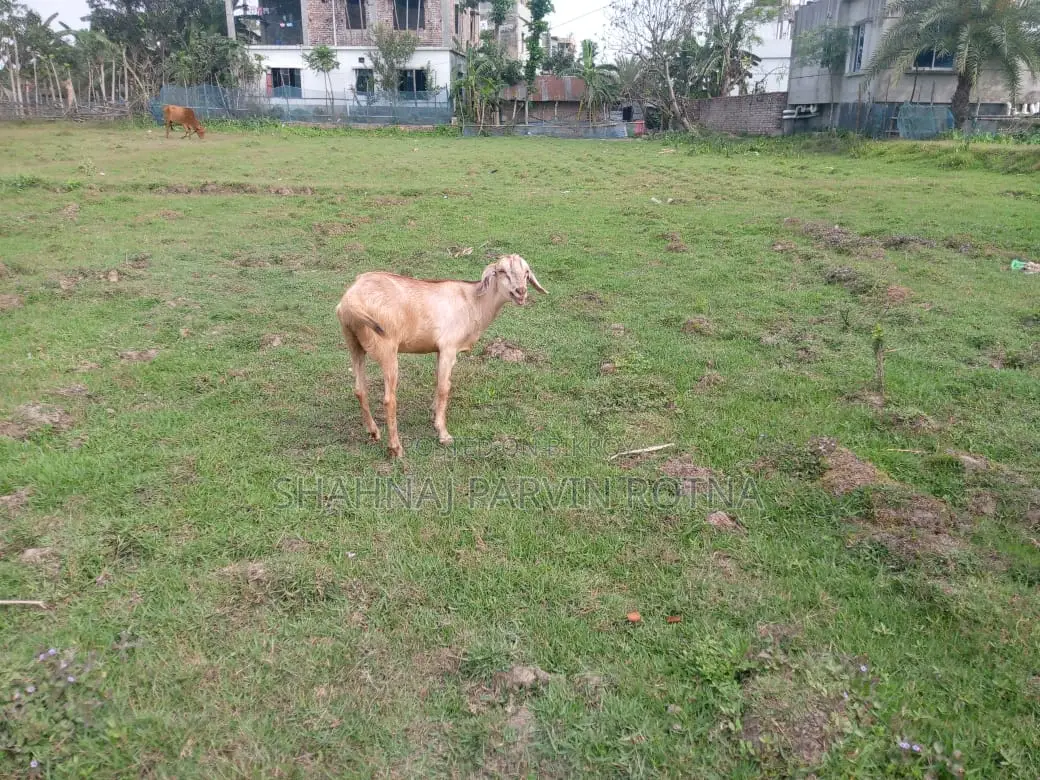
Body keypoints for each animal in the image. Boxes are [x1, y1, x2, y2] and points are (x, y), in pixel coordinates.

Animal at [335, 254, 548, 458]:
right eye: (501, 271)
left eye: (526, 272)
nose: (521, 291)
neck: (474, 302)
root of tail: (351, 300)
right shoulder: (448, 348)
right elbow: (445, 388)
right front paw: (443, 433)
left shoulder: (439, 350)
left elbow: (438, 381)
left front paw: (433, 412)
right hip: (386, 347)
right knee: (389, 399)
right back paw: (396, 448)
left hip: (353, 343)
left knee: (360, 389)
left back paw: (373, 432)